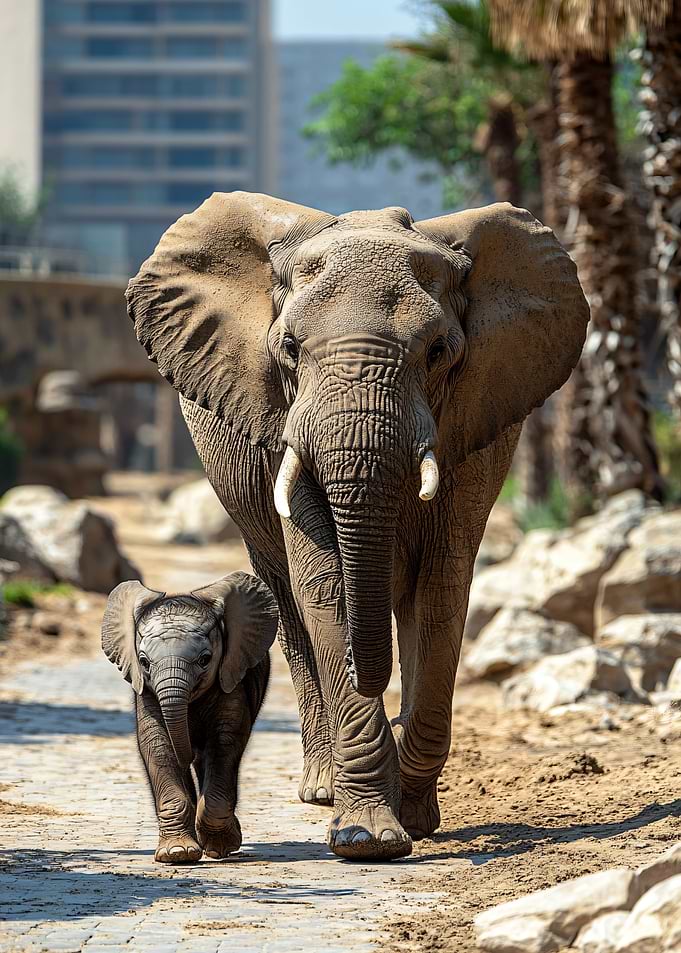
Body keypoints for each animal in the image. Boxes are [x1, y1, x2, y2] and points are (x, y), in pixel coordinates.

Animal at [101, 571, 278, 863]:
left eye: (205, 660)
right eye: (144, 662)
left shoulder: (231, 681)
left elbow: (224, 743)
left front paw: (220, 847)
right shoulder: (146, 693)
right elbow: (157, 745)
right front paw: (178, 854)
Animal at [126, 192, 589, 861]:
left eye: (440, 352)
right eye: (289, 349)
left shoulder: (478, 420)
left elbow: (442, 586)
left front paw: (414, 818)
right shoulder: (281, 427)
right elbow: (322, 582)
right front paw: (367, 837)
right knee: (286, 599)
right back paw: (323, 790)